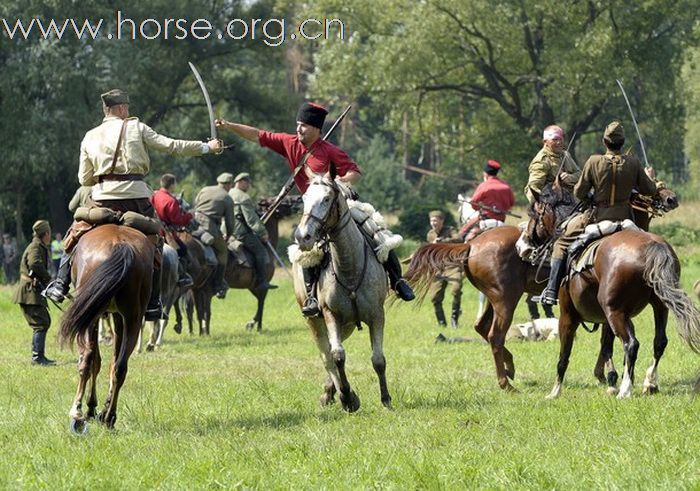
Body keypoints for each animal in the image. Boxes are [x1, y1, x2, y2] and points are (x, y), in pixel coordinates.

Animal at [59, 225, 154, 432]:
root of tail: (119, 245)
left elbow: (96, 361)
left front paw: (91, 407)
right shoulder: (118, 316)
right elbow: (111, 362)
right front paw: (101, 409)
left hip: (91, 317)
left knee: (88, 359)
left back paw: (77, 411)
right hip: (133, 319)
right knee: (120, 367)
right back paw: (109, 416)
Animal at [292, 167, 394, 414]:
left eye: (327, 198)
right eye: (304, 198)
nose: (303, 237)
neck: (349, 267)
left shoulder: (376, 315)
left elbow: (378, 359)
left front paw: (386, 399)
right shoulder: (331, 316)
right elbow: (337, 356)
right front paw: (347, 397)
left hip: (347, 325)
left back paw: (331, 391)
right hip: (316, 322)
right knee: (327, 356)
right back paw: (335, 393)